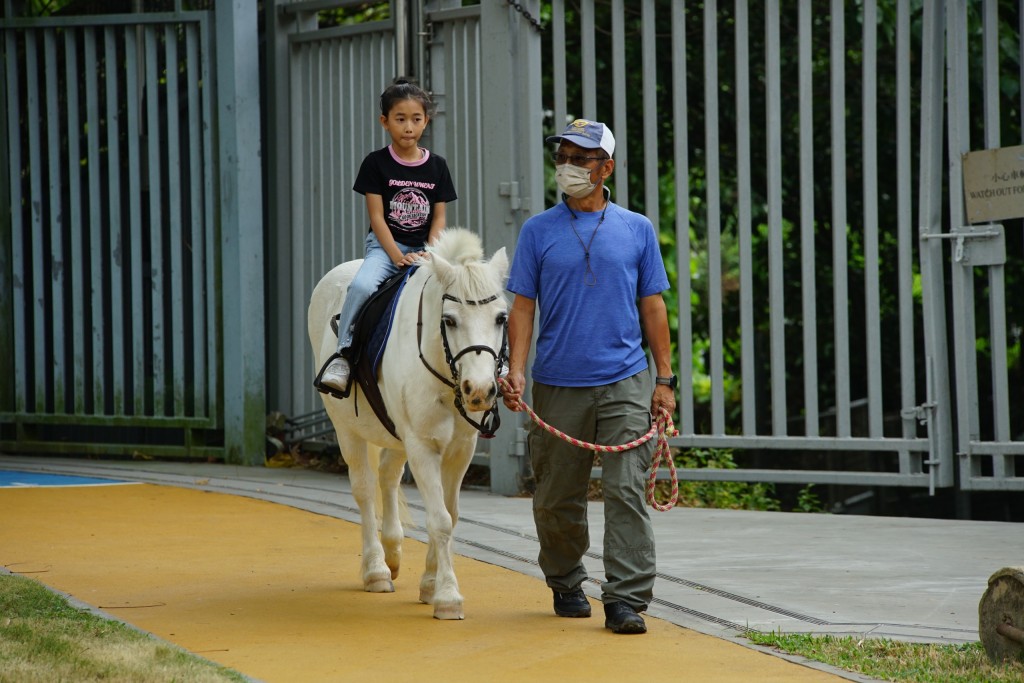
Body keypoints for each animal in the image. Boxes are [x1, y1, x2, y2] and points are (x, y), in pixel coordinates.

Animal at [305, 228, 509, 618]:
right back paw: (376, 570)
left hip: (396, 434)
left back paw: (393, 552)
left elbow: (450, 515)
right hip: (348, 431)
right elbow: (440, 519)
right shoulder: (423, 445)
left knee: (387, 476)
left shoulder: (460, 450)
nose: (479, 390)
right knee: (365, 490)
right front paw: (447, 596)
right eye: (450, 320)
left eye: (501, 318)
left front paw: (430, 584)